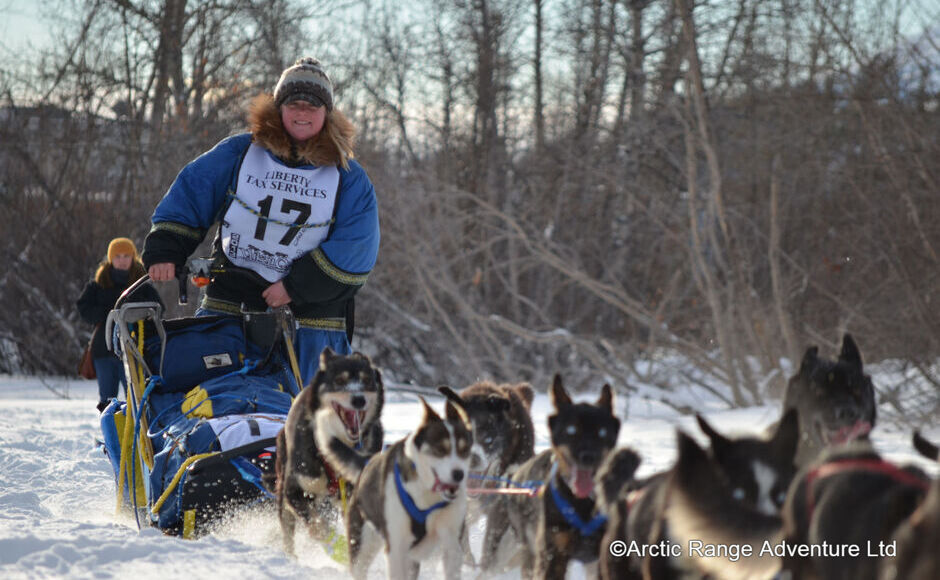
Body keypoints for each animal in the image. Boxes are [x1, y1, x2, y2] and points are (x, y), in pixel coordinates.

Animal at [270, 346, 384, 556]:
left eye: (366, 380)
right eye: (339, 381)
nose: (359, 399)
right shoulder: (294, 490)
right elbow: (317, 525)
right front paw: (330, 539)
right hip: (284, 492)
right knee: (288, 533)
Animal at [324, 396, 474, 576]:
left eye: (464, 450)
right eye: (440, 449)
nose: (459, 474)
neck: (427, 498)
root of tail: (367, 462)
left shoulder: (452, 544)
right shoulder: (396, 548)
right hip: (362, 544)